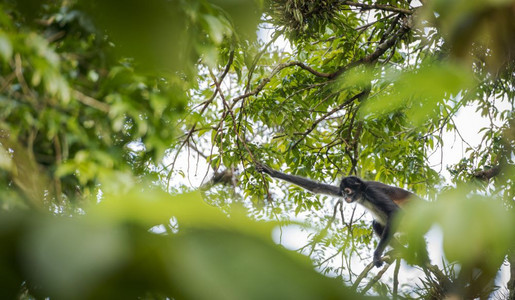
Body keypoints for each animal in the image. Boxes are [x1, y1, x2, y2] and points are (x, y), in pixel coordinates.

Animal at [256, 163, 420, 268]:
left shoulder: (372, 191)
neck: (362, 194)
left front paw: (376, 256)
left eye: (348, 191)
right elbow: (316, 187)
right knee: (377, 225)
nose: (346, 197)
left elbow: (394, 212)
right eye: (342, 192)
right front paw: (272, 172)